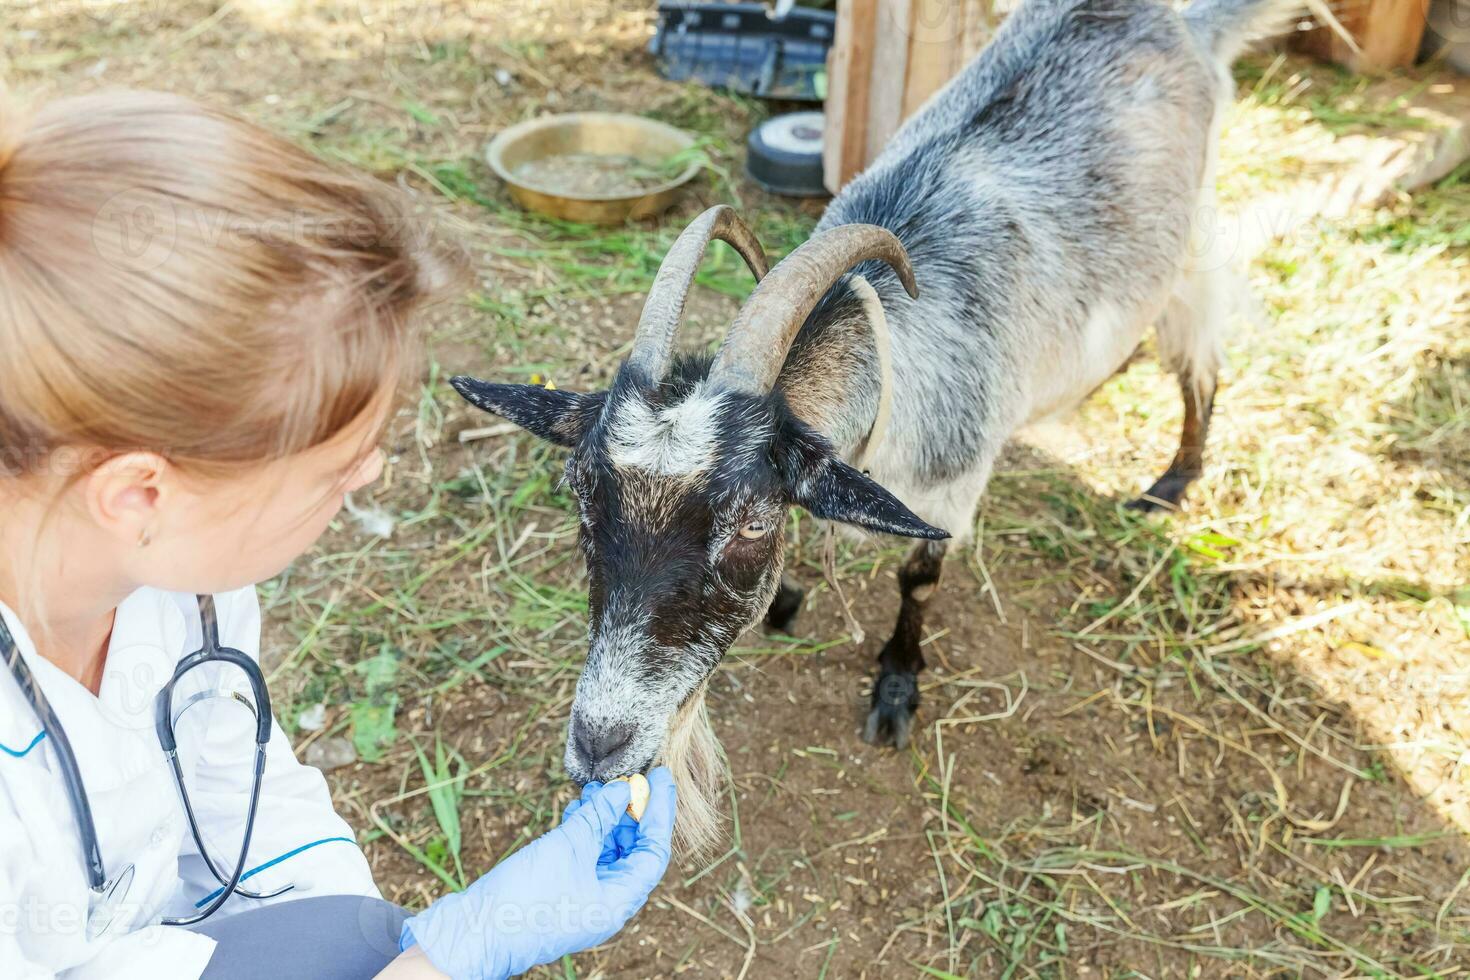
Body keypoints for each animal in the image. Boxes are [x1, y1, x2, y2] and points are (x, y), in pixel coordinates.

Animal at [458, 0, 1299, 852]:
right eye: (578, 496)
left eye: (754, 524)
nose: (599, 745)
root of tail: (1180, 22)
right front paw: (790, 601)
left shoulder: (953, 483)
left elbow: (918, 578)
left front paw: (896, 686)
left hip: (1187, 252)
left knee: (1201, 360)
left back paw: (1173, 480)